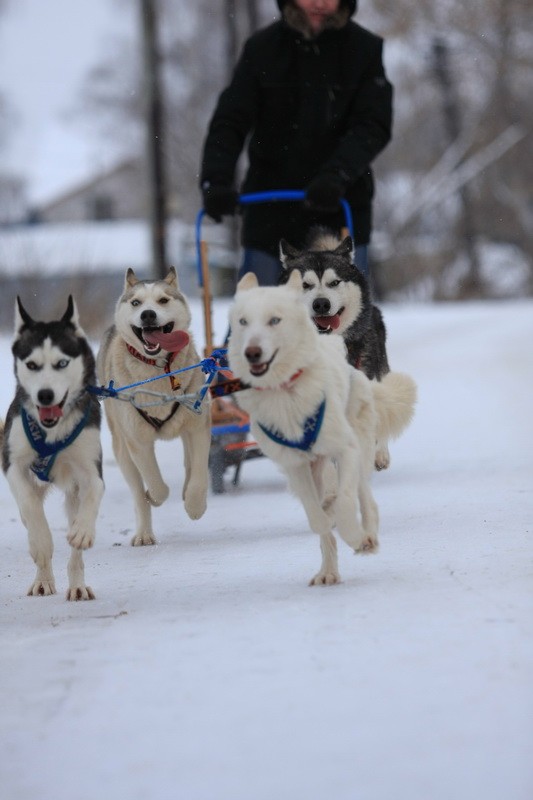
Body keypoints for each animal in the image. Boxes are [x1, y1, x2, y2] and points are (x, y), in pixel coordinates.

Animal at [0, 296, 104, 596]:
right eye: (32, 365)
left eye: (62, 363)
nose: (45, 395)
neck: (51, 432)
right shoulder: (13, 463)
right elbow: (30, 505)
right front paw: (41, 543)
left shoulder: (90, 468)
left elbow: (95, 490)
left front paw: (84, 531)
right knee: (29, 511)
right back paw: (43, 579)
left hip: (73, 495)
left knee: (76, 548)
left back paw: (78, 585)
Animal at [97, 266, 210, 548]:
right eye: (136, 303)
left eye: (163, 300)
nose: (148, 314)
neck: (159, 368)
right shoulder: (138, 440)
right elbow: (155, 483)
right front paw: (156, 496)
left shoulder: (198, 426)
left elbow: (199, 473)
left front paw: (195, 505)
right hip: (122, 449)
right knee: (138, 493)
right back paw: (144, 532)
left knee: (189, 462)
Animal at [227, 272, 414, 584]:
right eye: (243, 321)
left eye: (274, 320)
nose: (252, 352)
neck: (286, 392)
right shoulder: (295, 467)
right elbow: (317, 519)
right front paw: (329, 530)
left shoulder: (346, 450)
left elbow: (346, 502)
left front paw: (358, 538)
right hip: (316, 467)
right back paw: (328, 571)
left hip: (358, 447)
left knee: (365, 497)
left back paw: (367, 533)